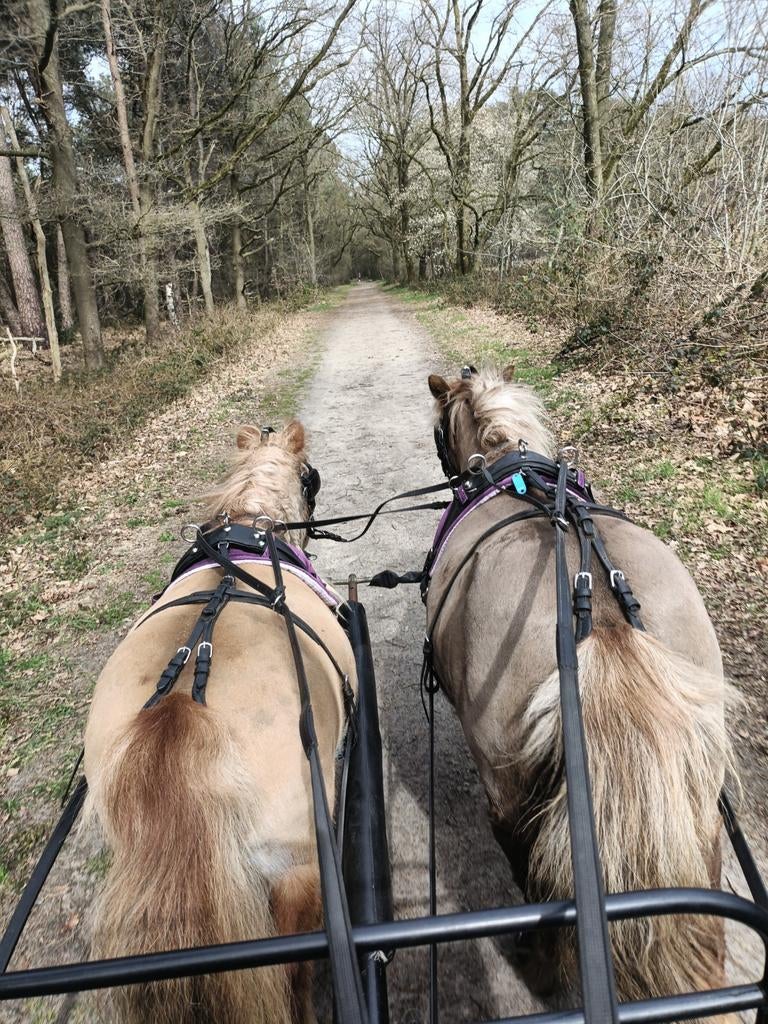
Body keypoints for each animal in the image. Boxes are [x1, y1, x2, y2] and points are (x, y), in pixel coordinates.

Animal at [424, 366, 731, 1007]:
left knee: (531, 868)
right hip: (696, 801)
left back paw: (537, 963)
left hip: (511, 791)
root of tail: (605, 619)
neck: (503, 463)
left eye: (439, 429)